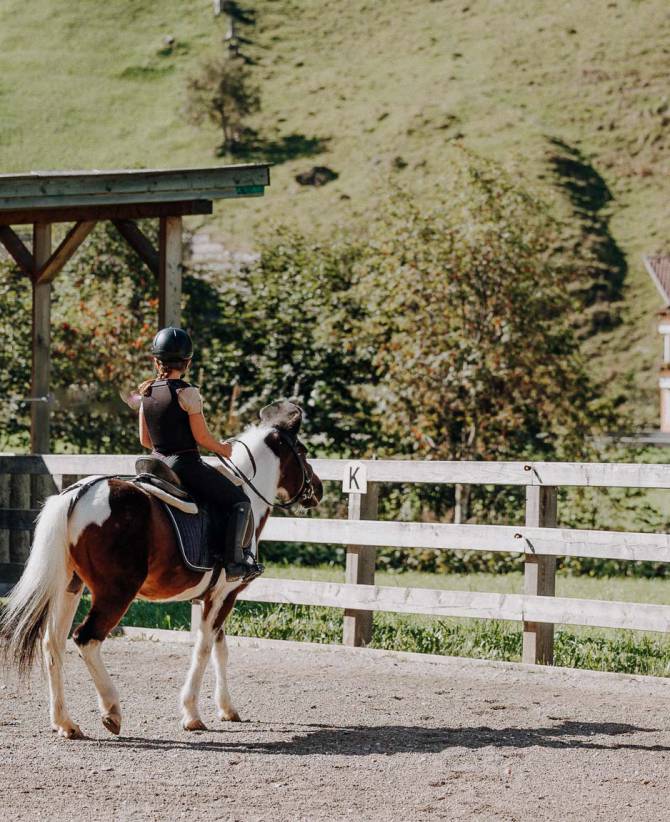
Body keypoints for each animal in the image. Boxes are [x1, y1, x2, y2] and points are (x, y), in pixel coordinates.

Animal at [0, 400, 323, 739]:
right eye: (301, 451)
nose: (318, 488)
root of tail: (80, 492)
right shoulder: (225, 594)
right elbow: (204, 648)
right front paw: (192, 714)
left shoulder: (214, 596)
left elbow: (219, 648)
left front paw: (227, 708)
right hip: (116, 592)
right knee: (86, 639)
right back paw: (111, 710)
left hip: (70, 587)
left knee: (53, 644)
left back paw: (65, 723)